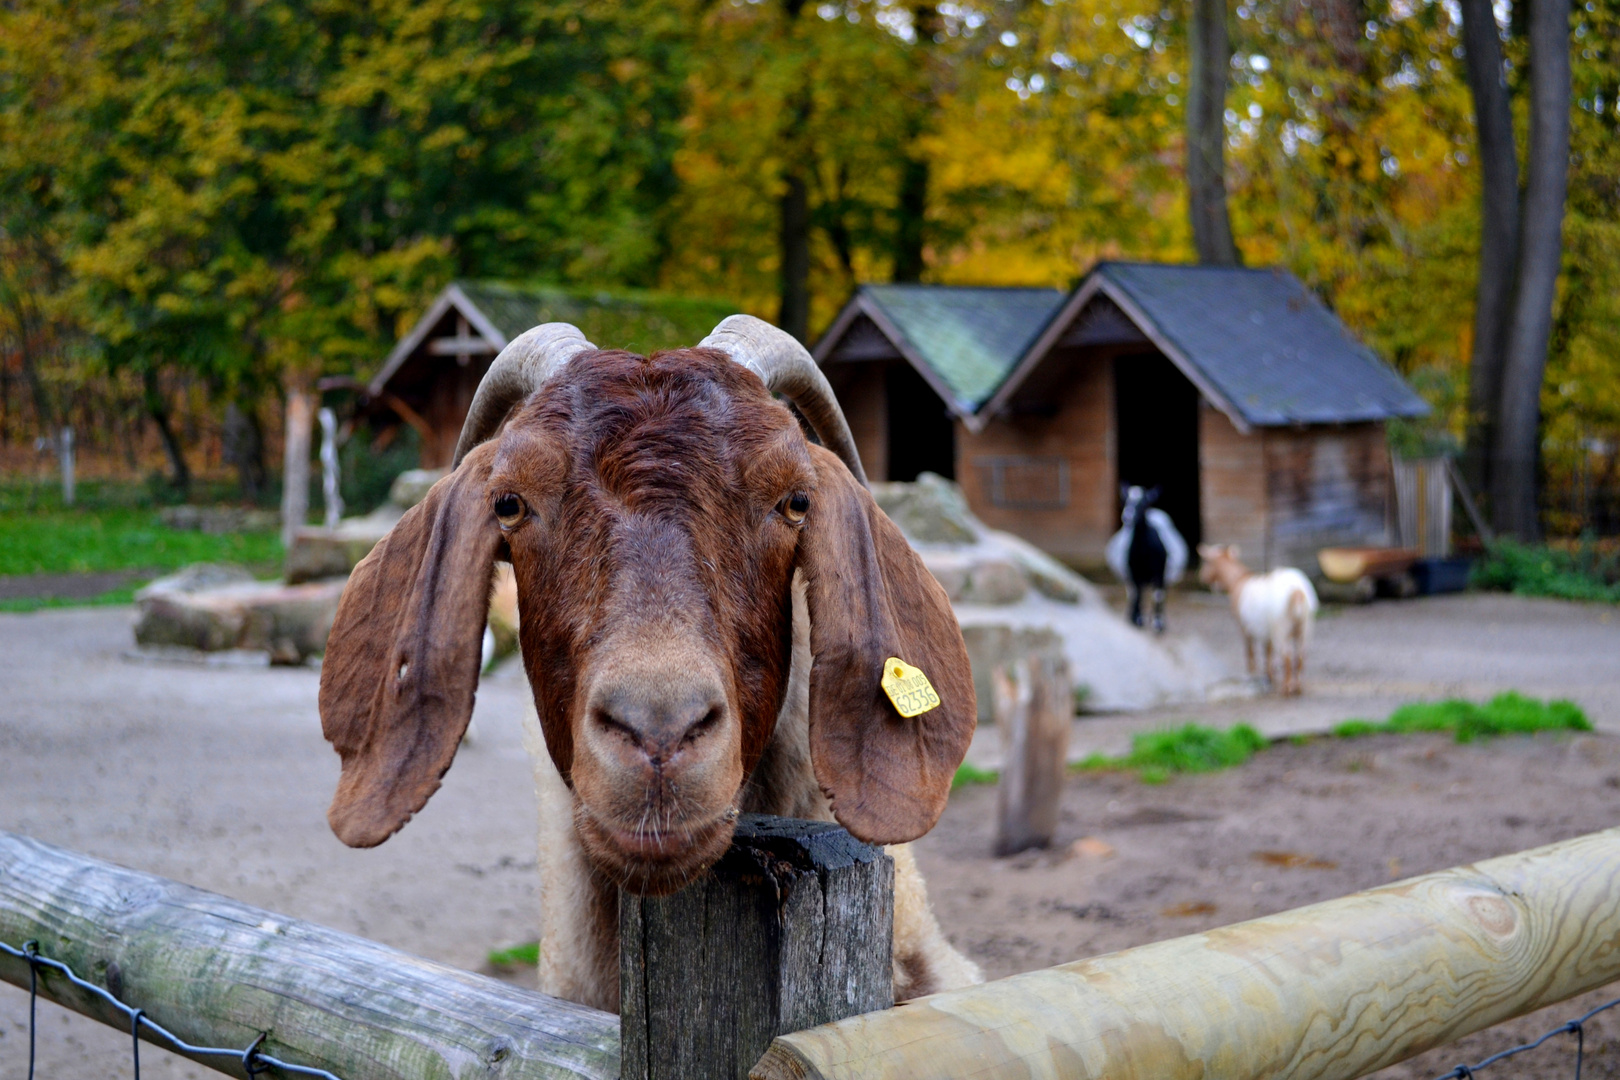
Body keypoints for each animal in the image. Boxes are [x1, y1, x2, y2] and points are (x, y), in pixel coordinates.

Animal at [1101, 482, 1192, 634]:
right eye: (1124, 501)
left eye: (1143, 503)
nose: (1127, 517)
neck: (1144, 552)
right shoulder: (1133, 571)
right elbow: (1138, 594)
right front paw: (1138, 619)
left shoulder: (1160, 572)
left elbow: (1158, 595)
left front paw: (1158, 623)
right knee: (1132, 593)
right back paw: (1132, 615)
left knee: (1160, 593)